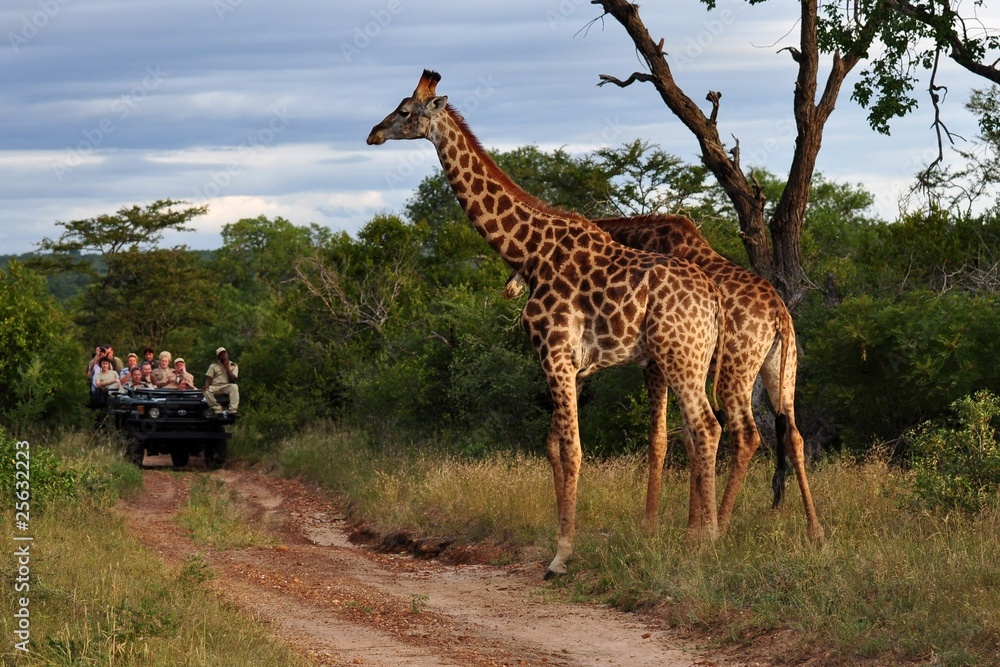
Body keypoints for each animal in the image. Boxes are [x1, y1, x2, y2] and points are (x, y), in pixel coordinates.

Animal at [368, 70, 728, 578]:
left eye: (404, 111)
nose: (373, 133)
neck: (529, 251)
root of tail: (713, 300)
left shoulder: (555, 355)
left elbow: (573, 449)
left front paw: (561, 556)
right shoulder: (566, 364)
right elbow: (554, 447)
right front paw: (559, 544)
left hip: (681, 357)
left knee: (707, 428)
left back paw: (708, 541)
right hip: (685, 360)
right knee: (697, 432)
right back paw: (697, 535)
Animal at [505, 214, 824, 541]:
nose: (510, 288)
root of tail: (779, 315)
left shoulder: (657, 364)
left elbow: (668, 437)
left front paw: (669, 526)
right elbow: (689, 438)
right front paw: (692, 526)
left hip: (735, 370)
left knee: (747, 434)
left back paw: (723, 523)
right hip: (781, 369)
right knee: (794, 434)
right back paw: (815, 529)